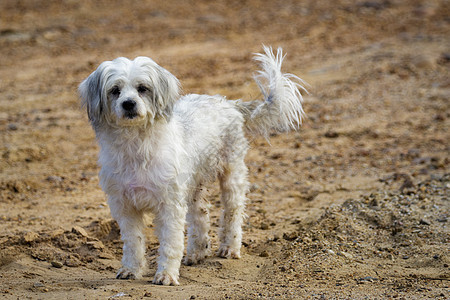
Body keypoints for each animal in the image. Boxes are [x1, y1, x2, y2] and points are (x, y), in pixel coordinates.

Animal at [79, 45, 308, 284]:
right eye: (115, 90)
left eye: (142, 89)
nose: (128, 104)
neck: (135, 147)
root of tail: (227, 103)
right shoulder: (124, 206)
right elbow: (133, 243)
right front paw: (131, 270)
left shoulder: (169, 205)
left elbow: (170, 244)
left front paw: (166, 275)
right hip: (193, 188)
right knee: (201, 216)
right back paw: (197, 253)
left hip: (231, 175)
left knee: (233, 212)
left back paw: (229, 248)